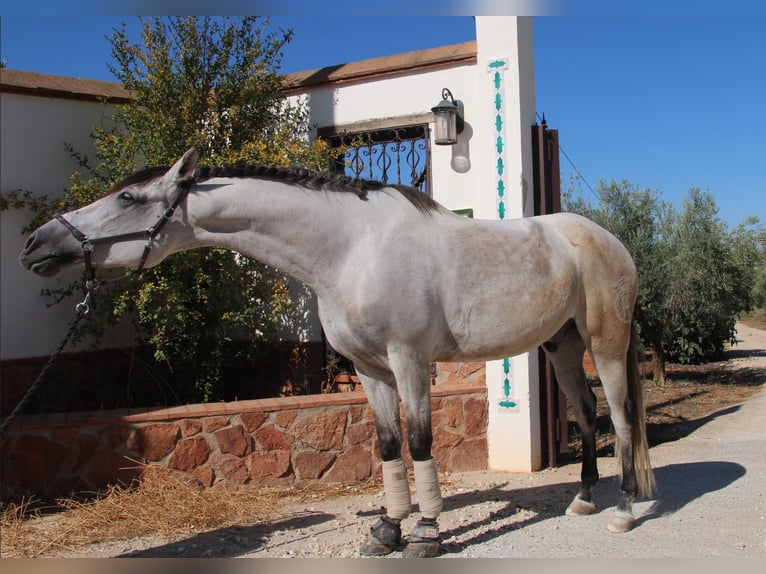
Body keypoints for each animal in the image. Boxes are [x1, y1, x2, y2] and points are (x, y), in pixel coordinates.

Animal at [19, 147, 655, 557]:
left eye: (128, 196)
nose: (35, 244)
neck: (350, 249)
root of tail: (610, 240)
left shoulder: (408, 361)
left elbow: (420, 443)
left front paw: (427, 534)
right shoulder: (369, 369)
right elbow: (389, 445)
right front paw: (388, 531)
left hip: (606, 343)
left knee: (622, 417)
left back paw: (625, 510)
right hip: (561, 346)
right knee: (586, 413)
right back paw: (583, 500)